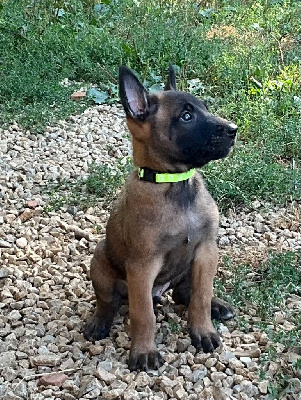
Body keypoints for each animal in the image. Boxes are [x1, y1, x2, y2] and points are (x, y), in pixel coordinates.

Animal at [84, 64, 237, 370]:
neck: (175, 183)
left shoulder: (206, 251)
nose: (233, 130)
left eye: (205, 108)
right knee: (108, 301)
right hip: (100, 261)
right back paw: (99, 322)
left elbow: (201, 297)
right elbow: (143, 315)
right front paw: (144, 351)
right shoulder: (142, 266)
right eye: (186, 116)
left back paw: (217, 305)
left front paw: (203, 331)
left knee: (185, 293)